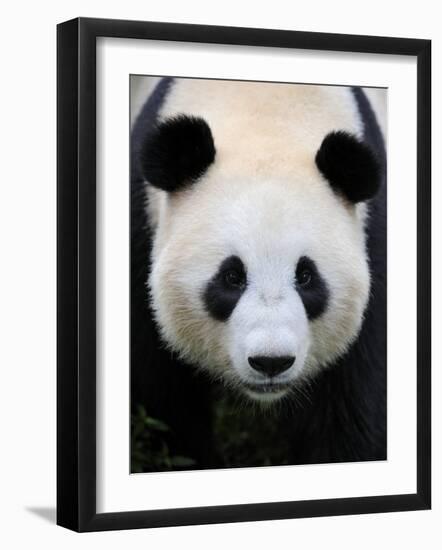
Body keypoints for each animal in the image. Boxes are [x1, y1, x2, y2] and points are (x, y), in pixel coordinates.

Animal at [129, 77, 386, 472]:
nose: (271, 361)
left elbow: (349, 401)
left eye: (306, 277)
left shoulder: (372, 239)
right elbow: (163, 393)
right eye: (231, 277)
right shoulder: (142, 228)